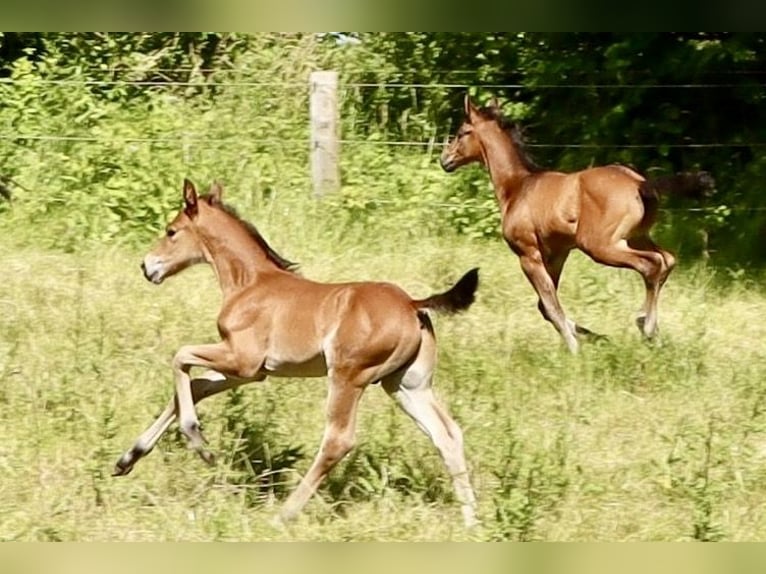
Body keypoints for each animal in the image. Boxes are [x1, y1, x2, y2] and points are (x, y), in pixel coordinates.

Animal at [112, 179, 480, 528]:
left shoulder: (243, 361)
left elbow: (180, 357)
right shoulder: (252, 372)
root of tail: (413, 305)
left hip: (348, 376)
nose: (147, 266)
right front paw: (127, 459)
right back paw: (471, 520)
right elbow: (195, 387)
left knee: (338, 440)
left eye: (171, 231)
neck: (249, 283)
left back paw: (283, 515)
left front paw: (199, 443)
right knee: (447, 434)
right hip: (405, 384)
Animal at [440, 94, 716, 354]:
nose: (445, 160)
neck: (518, 187)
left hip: (600, 246)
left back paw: (646, 326)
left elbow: (550, 305)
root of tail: (640, 184)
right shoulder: (557, 254)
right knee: (667, 259)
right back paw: (650, 329)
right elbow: (544, 305)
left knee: (651, 264)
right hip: (636, 237)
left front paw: (574, 347)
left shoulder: (528, 255)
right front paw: (595, 337)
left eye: (462, 132)